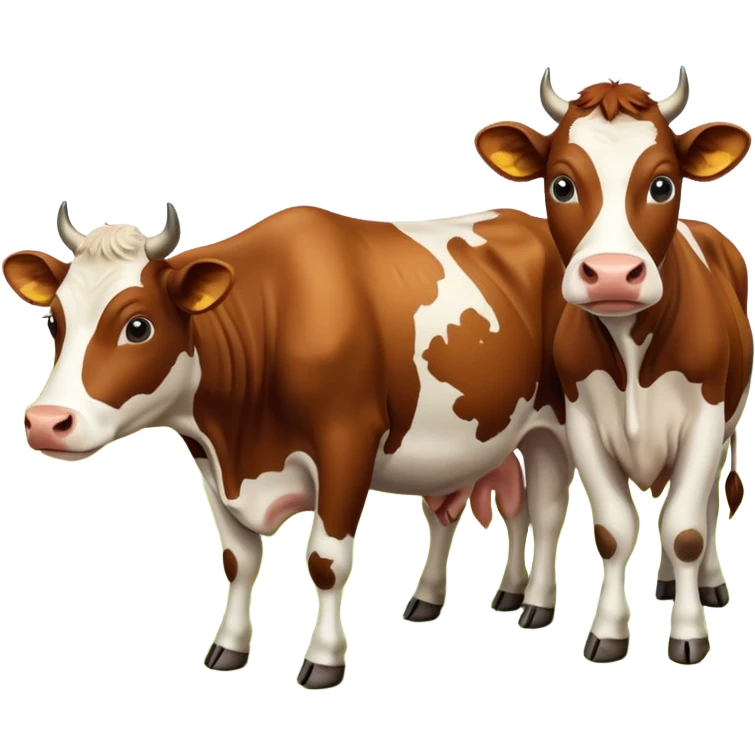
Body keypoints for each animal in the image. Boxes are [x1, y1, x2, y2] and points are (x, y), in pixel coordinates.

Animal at [2, 200, 575, 689]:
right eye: (53, 320)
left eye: (138, 326)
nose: (46, 422)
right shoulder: (213, 461)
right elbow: (237, 559)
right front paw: (229, 647)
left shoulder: (347, 444)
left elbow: (325, 561)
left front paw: (323, 660)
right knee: (482, 509)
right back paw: (457, 595)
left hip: (554, 425)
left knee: (546, 511)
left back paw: (535, 604)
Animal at [473, 67, 752, 666]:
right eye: (561, 184)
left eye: (662, 184)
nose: (611, 273)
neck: (630, 347)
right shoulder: (582, 424)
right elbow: (614, 531)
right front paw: (608, 631)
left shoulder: (703, 423)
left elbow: (685, 530)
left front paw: (688, 633)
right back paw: (669, 582)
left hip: (726, 427)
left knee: (705, 505)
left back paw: (707, 584)